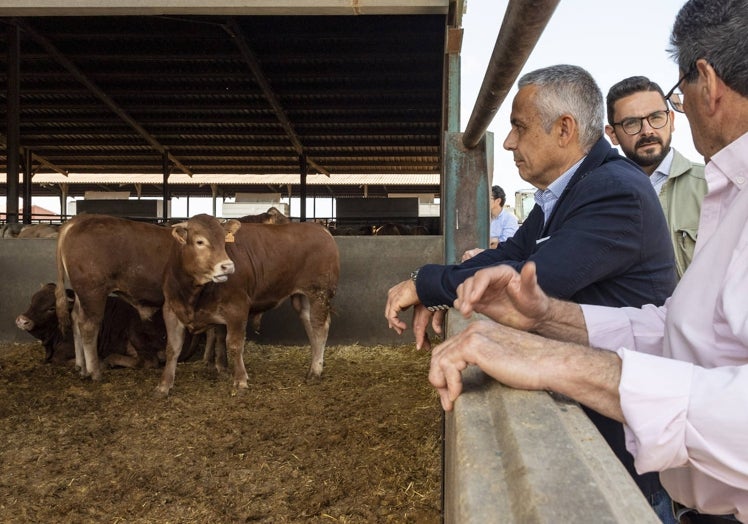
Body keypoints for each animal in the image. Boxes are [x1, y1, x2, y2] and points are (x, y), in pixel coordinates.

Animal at [54, 213, 237, 380]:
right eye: (200, 241)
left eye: (223, 241)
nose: (227, 266)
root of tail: (79, 220)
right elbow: (219, 333)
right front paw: (221, 366)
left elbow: (213, 332)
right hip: (93, 292)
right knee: (88, 326)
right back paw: (94, 372)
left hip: (82, 294)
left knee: (75, 319)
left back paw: (81, 367)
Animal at [158, 219, 338, 396]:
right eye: (199, 241)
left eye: (224, 241)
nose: (228, 266)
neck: (193, 294)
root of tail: (320, 229)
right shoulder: (170, 309)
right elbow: (173, 348)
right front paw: (164, 385)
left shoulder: (237, 308)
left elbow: (235, 344)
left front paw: (240, 381)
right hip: (301, 298)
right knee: (309, 324)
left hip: (318, 293)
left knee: (320, 328)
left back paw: (315, 371)